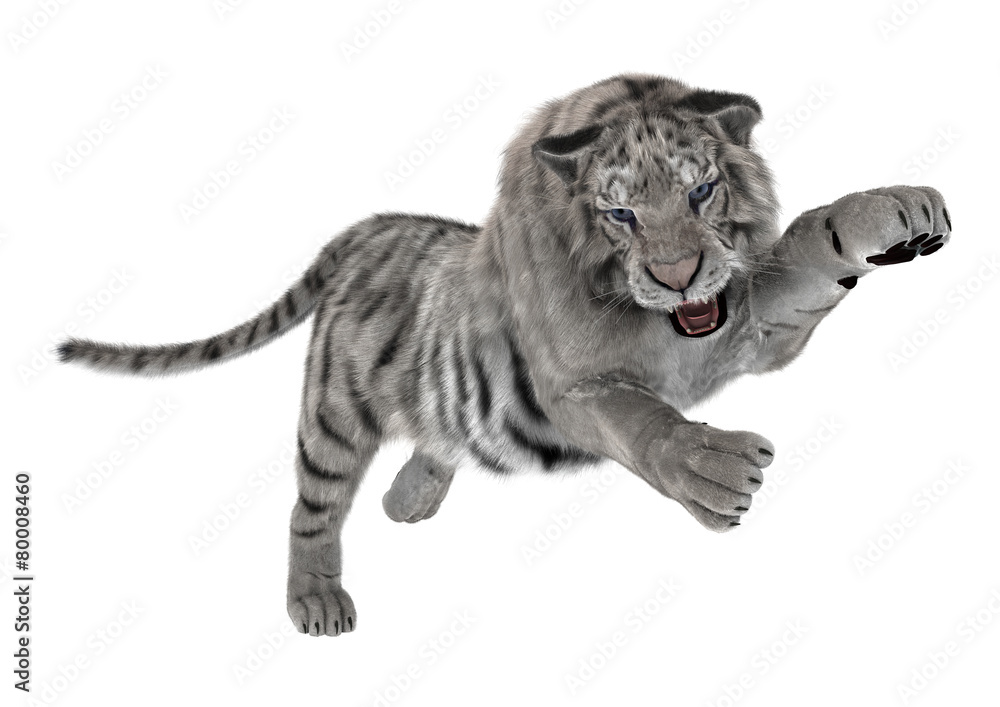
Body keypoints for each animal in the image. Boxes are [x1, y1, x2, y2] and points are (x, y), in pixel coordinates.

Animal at [58, 74, 952, 637]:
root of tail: (375, 225)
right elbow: (641, 420)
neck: (669, 321)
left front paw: (897, 208)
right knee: (312, 506)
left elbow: (810, 241)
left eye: (702, 193)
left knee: (439, 432)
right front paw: (716, 472)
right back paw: (317, 598)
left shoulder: (750, 323)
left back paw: (407, 500)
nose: (678, 274)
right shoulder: (577, 387)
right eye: (621, 214)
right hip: (334, 413)